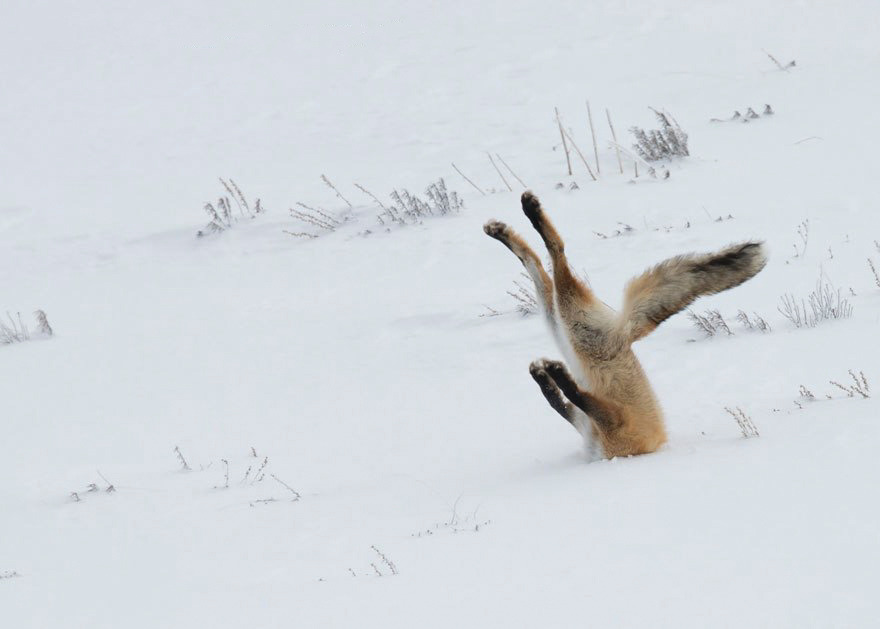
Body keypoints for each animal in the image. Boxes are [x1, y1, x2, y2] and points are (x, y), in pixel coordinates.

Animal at [483, 191, 767, 459]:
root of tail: (626, 333)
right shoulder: (588, 423)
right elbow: (558, 401)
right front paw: (545, 376)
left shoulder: (612, 423)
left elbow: (571, 396)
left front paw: (553, 374)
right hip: (561, 324)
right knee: (536, 263)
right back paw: (503, 230)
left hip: (572, 324)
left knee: (557, 253)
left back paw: (529, 213)